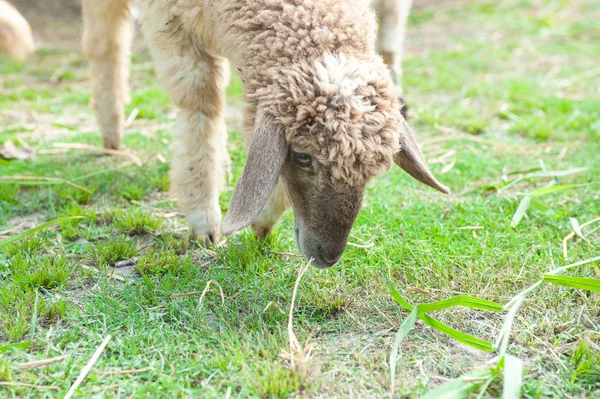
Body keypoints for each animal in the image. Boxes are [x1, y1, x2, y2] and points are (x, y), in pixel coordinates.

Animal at [81, 0, 446, 268]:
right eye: (301, 156)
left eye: (374, 172)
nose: (327, 257)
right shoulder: (171, 21)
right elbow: (200, 104)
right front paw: (204, 215)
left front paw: (263, 219)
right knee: (106, 41)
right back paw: (112, 127)